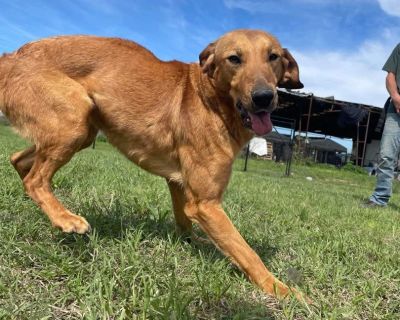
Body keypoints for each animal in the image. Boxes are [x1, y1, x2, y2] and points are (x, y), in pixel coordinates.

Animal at [0, 29, 304, 300]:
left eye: (273, 57)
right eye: (234, 58)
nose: (264, 97)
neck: (211, 99)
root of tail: (12, 56)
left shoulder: (179, 185)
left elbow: (184, 222)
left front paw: (193, 242)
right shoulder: (207, 204)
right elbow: (247, 252)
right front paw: (282, 290)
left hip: (81, 131)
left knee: (19, 162)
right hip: (74, 120)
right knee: (35, 180)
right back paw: (65, 218)